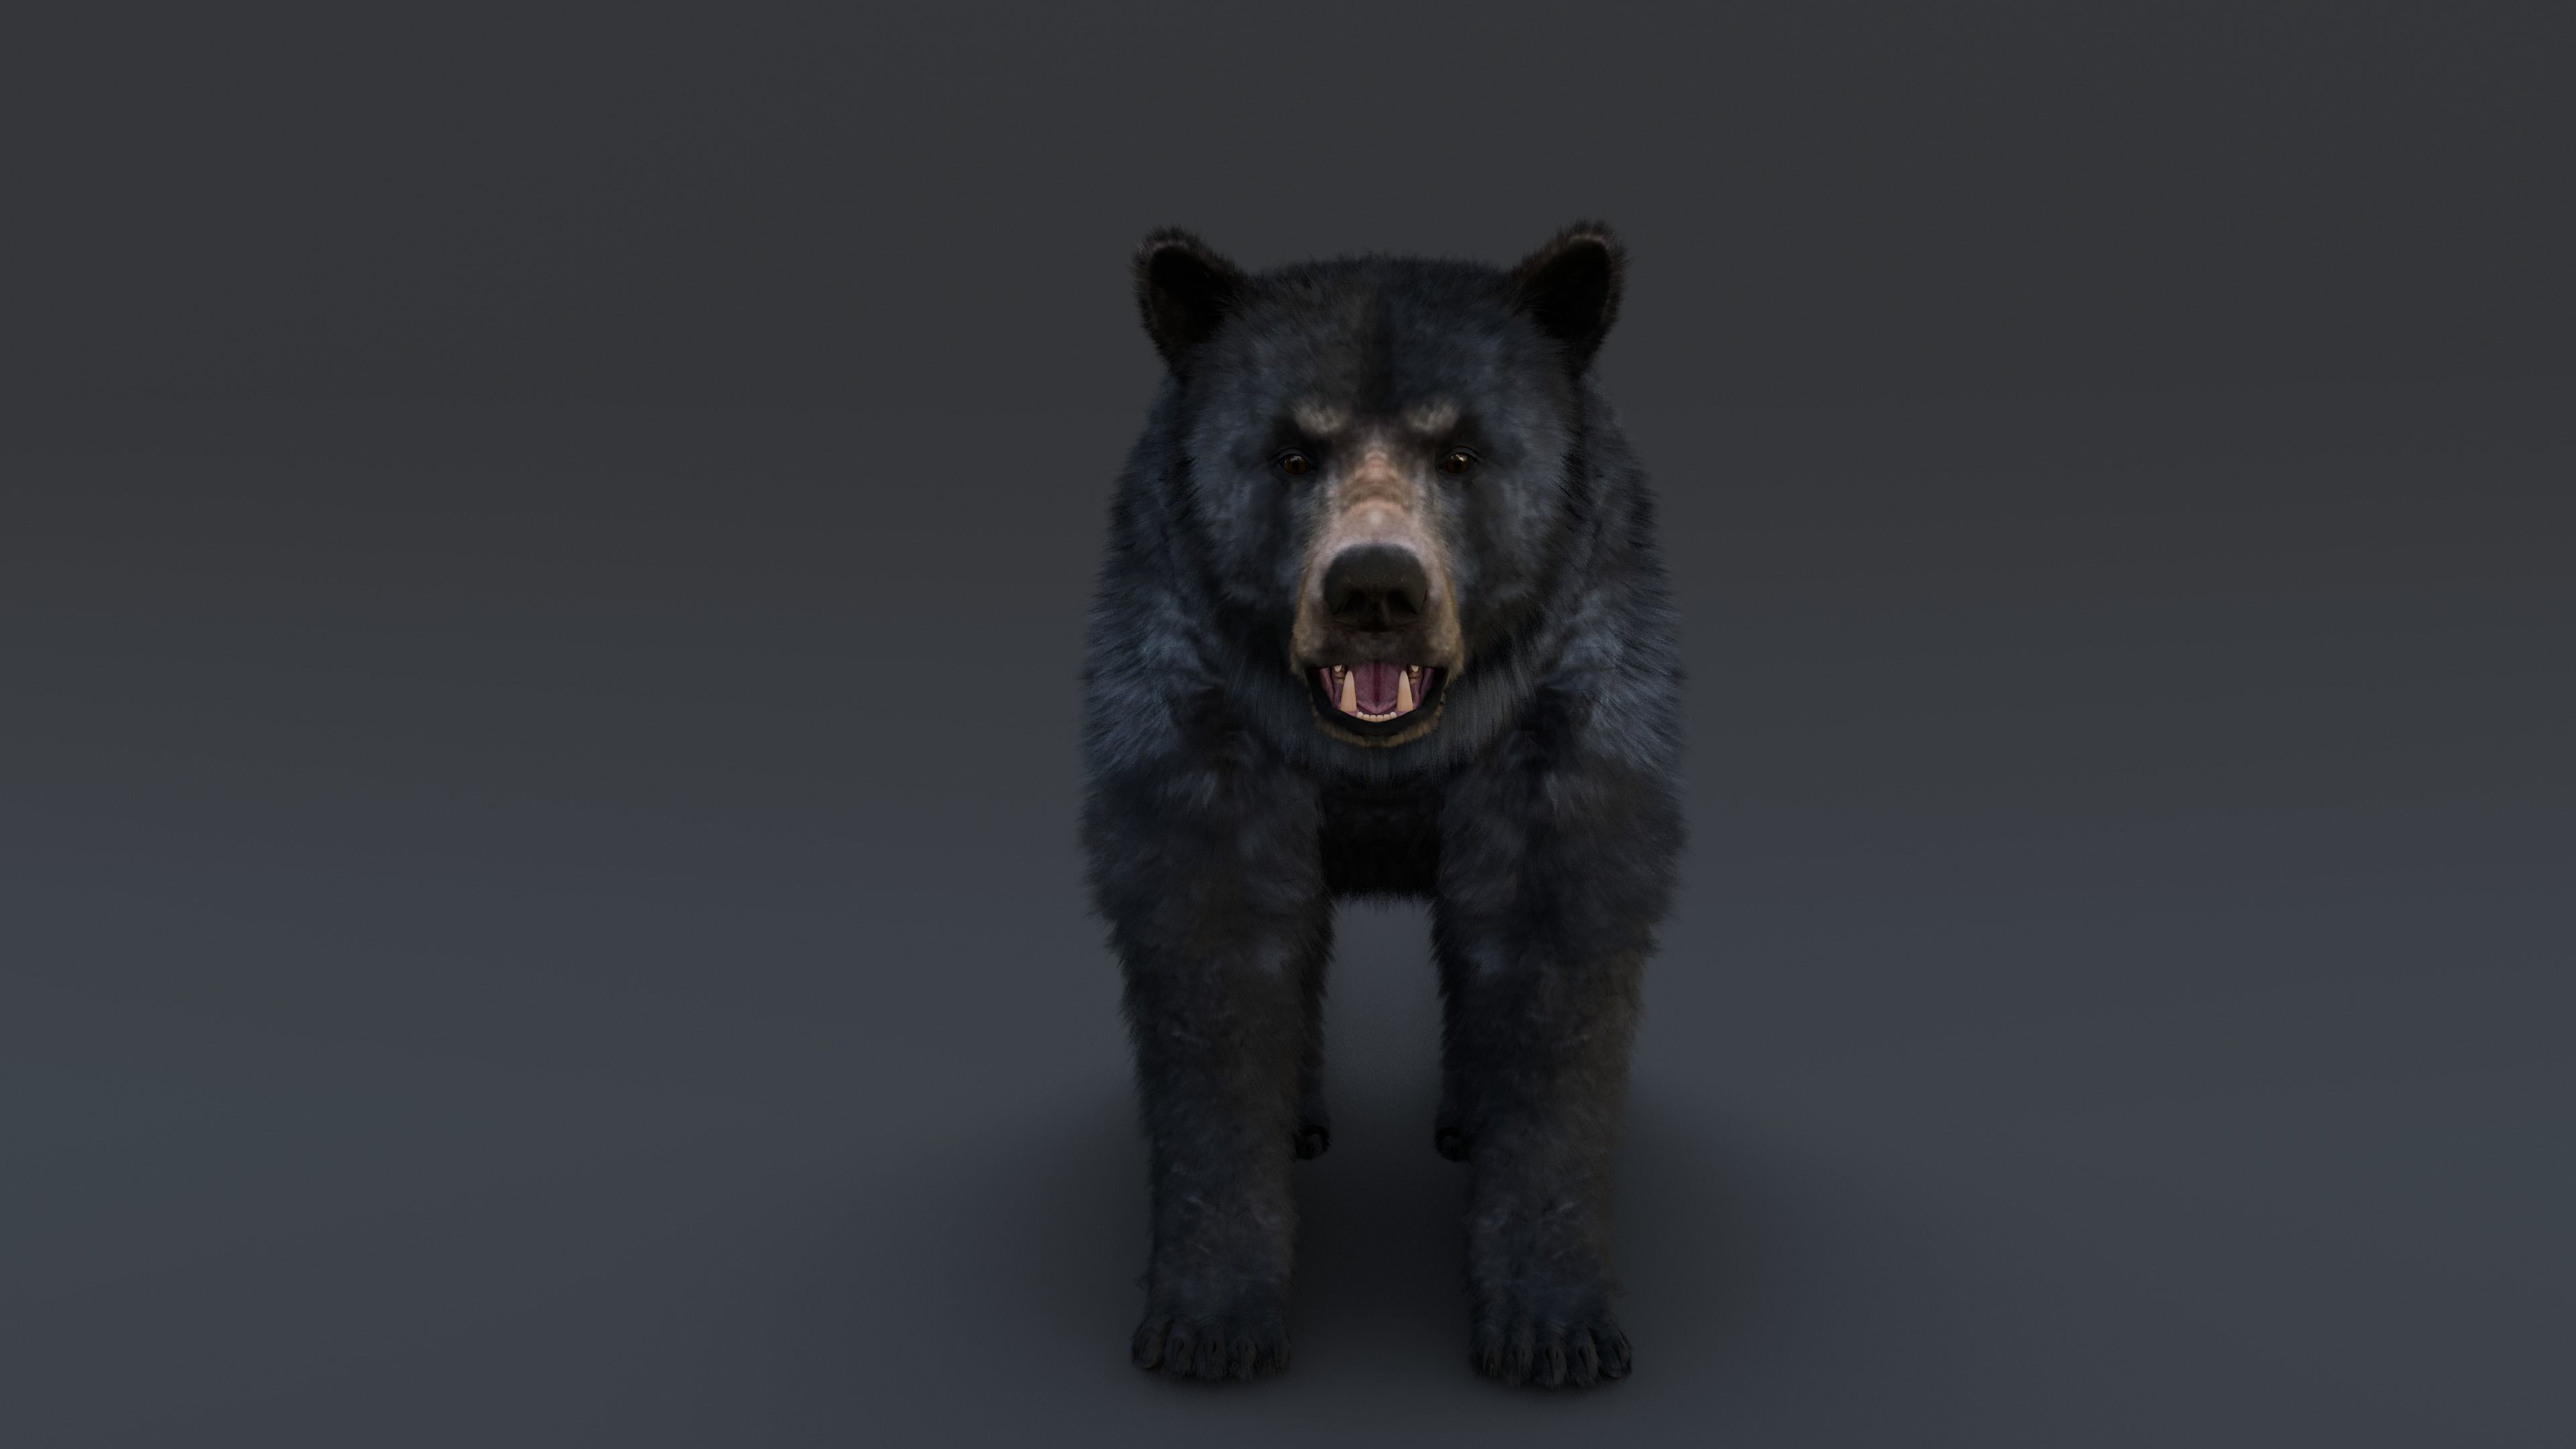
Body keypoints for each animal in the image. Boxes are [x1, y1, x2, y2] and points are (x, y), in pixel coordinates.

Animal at [1079, 221, 1684, 1389]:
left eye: (1460, 455)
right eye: (1291, 455)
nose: (1374, 589)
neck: (1383, 761)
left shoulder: (1567, 706)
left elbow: (1549, 982)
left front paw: (1555, 1329)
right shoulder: (1196, 703)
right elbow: (1219, 976)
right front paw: (1208, 1323)